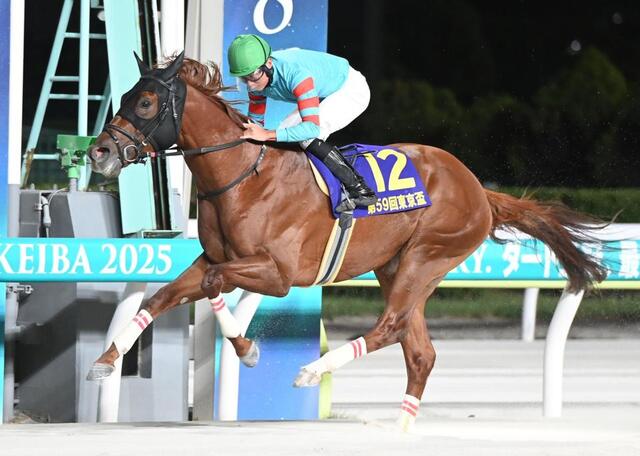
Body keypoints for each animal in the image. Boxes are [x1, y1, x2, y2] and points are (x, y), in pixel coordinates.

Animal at [86, 52, 607, 430]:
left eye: (146, 104)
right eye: (125, 95)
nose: (100, 152)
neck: (242, 176)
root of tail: (479, 188)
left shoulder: (277, 274)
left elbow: (215, 284)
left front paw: (248, 349)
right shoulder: (213, 256)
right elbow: (160, 297)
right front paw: (105, 361)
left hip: (427, 255)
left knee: (391, 327)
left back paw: (312, 371)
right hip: (396, 266)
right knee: (419, 351)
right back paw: (400, 430)